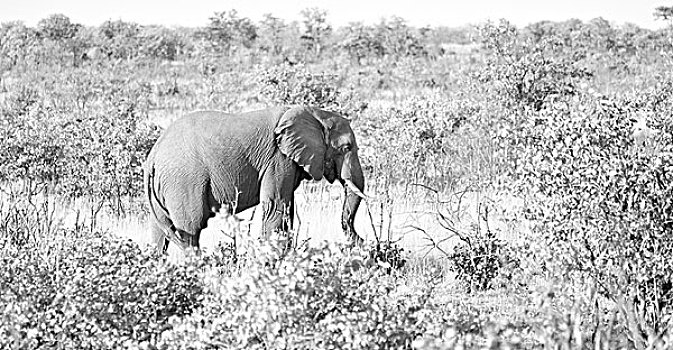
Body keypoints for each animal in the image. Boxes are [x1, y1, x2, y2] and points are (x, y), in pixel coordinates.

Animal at [140, 105, 362, 253]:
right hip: (184, 182)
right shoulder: (278, 159)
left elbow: (287, 210)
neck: (313, 114)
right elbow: (276, 207)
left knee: (160, 234)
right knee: (190, 230)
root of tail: (153, 156)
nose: (360, 240)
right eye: (346, 148)